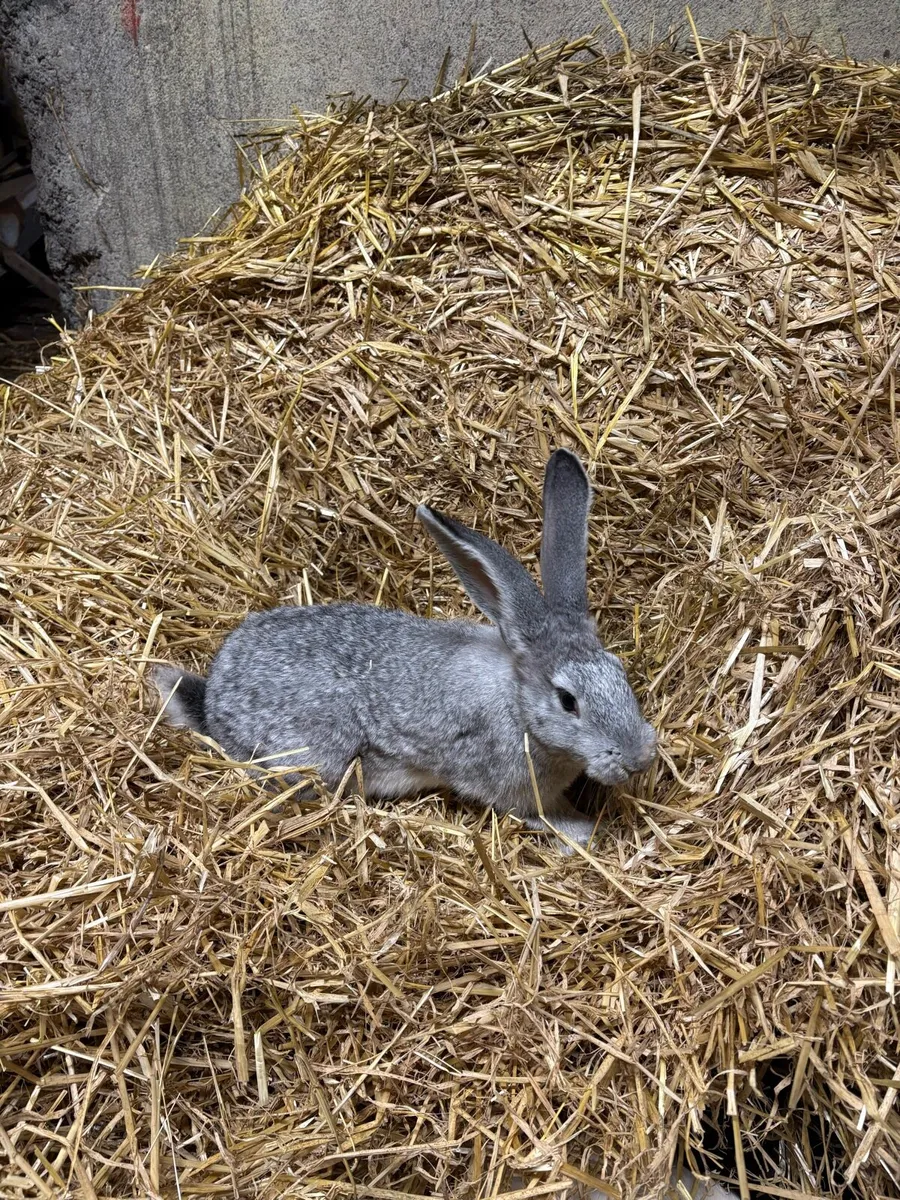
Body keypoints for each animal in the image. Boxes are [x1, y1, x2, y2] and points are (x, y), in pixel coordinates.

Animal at [153, 449, 657, 846]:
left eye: (620, 673)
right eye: (567, 701)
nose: (639, 760)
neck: (519, 703)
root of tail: (212, 703)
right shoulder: (511, 786)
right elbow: (536, 814)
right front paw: (581, 831)